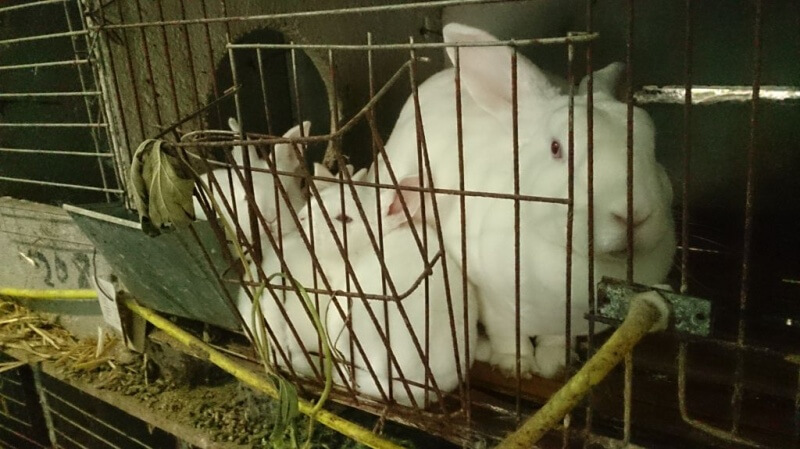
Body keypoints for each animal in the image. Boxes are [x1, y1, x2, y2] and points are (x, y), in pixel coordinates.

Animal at [368, 22, 676, 376]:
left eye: (653, 145)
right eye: (556, 148)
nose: (633, 213)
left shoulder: (566, 322)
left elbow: (556, 338)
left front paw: (555, 363)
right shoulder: (492, 299)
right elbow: (507, 333)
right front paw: (515, 365)